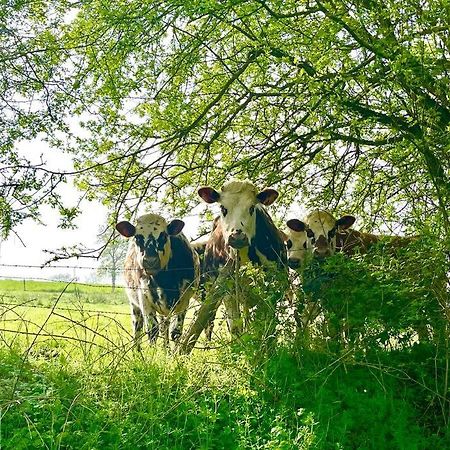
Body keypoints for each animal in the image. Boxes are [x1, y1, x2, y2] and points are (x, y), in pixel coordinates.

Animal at [116, 213, 199, 350]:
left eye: (164, 235)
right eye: (137, 237)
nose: (150, 261)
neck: (164, 280)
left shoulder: (184, 299)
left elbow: (176, 332)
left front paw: (176, 354)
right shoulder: (144, 298)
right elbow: (152, 331)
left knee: (165, 326)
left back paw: (166, 350)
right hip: (134, 305)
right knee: (137, 327)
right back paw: (137, 351)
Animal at [178, 179, 286, 356]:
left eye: (252, 207)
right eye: (223, 208)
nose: (237, 236)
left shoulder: (274, 283)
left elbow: (267, 320)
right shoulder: (226, 289)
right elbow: (235, 327)